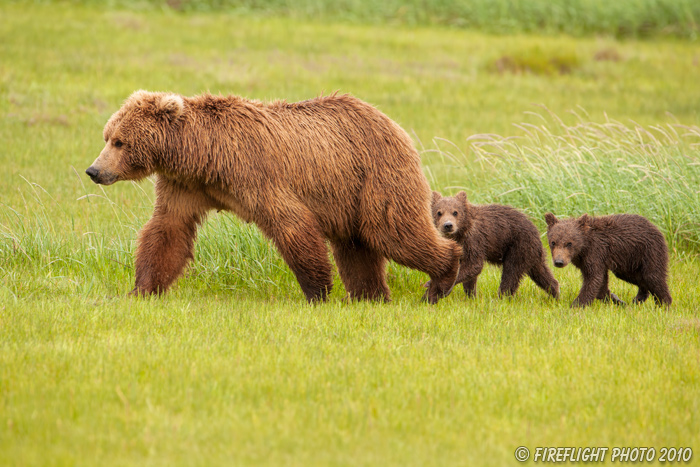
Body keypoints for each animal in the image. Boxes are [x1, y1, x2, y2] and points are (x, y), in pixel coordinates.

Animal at [86, 91, 460, 304]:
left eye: (119, 141)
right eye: (107, 136)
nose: (94, 170)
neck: (202, 155)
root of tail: (391, 122)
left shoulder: (256, 174)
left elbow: (292, 224)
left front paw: (317, 292)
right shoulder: (185, 186)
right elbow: (167, 230)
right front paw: (141, 289)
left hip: (377, 176)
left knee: (393, 232)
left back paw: (441, 278)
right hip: (349, 196)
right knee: (357, 246)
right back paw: (370, 296)